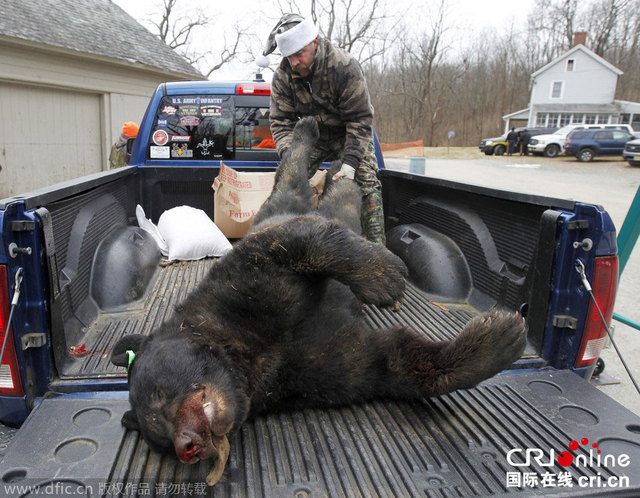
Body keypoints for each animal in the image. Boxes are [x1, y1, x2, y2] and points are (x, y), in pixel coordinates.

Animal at [112, 115, 528, 482]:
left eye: (158, 394)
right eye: (158, 434)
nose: (187, 445)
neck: (245, 357)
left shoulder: (246, 280)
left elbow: (304, 242)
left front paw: (385, 277)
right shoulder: (309, 371)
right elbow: (393, 361)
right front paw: (493, 344)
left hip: (279, 206)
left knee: (301, 184)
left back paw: (318, 141)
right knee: (329, 200)